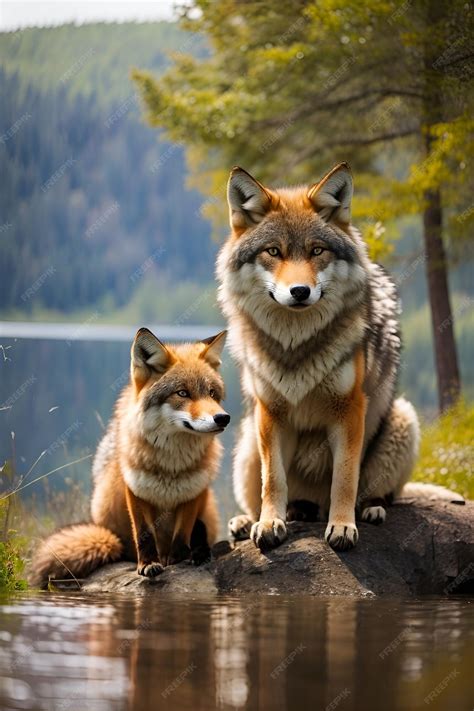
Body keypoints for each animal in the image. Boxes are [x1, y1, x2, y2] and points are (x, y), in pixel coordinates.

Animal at [30, 327, 230, 588]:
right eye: (182, 393)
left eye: (212, 393)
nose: (223, 418)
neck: (171, 468)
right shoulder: (136, 489)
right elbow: (144, 534)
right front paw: (148, 565)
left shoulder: (194, 491)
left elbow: (183, 532)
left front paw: (177, 560)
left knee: (200, 530)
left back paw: (200, 552)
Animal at [217, 162, 464, 553]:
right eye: (273, 251)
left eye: (317, 251)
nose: (299, 291)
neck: (297, 343)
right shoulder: (271, 413)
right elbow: (273, 481)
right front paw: (269, 523)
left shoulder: (348, 410)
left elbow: (345, 478)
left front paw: (343, 527)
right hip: (246, 438)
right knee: (266, 496)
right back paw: (254, 520)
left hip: (403, 419)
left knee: (381, 494)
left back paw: (369, 511)